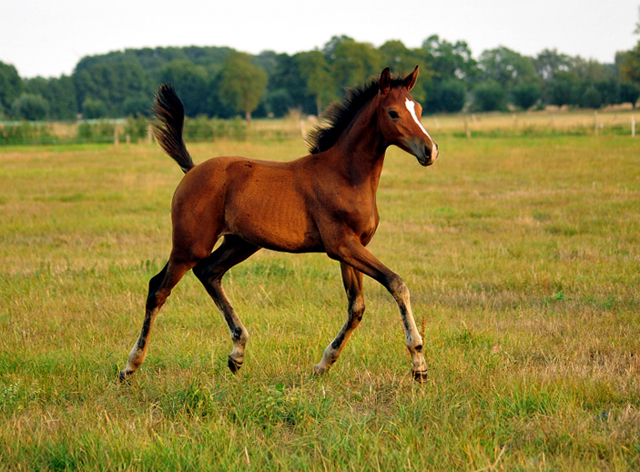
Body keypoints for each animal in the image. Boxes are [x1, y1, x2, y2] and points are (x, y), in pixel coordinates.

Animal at [119, 66, 440, 382]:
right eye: (393, 113)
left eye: (419, 109)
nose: (430, 150)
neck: (345, 175)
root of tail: (193, 169)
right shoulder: (342, 245)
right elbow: (396, 283)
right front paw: (419, 363)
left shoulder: (353, 248)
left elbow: (356, 307)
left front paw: (323, 364)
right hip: (190, 245)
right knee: (158, 289)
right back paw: (130, 366)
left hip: (240, 243)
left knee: (208, 272)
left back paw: (237, 354)